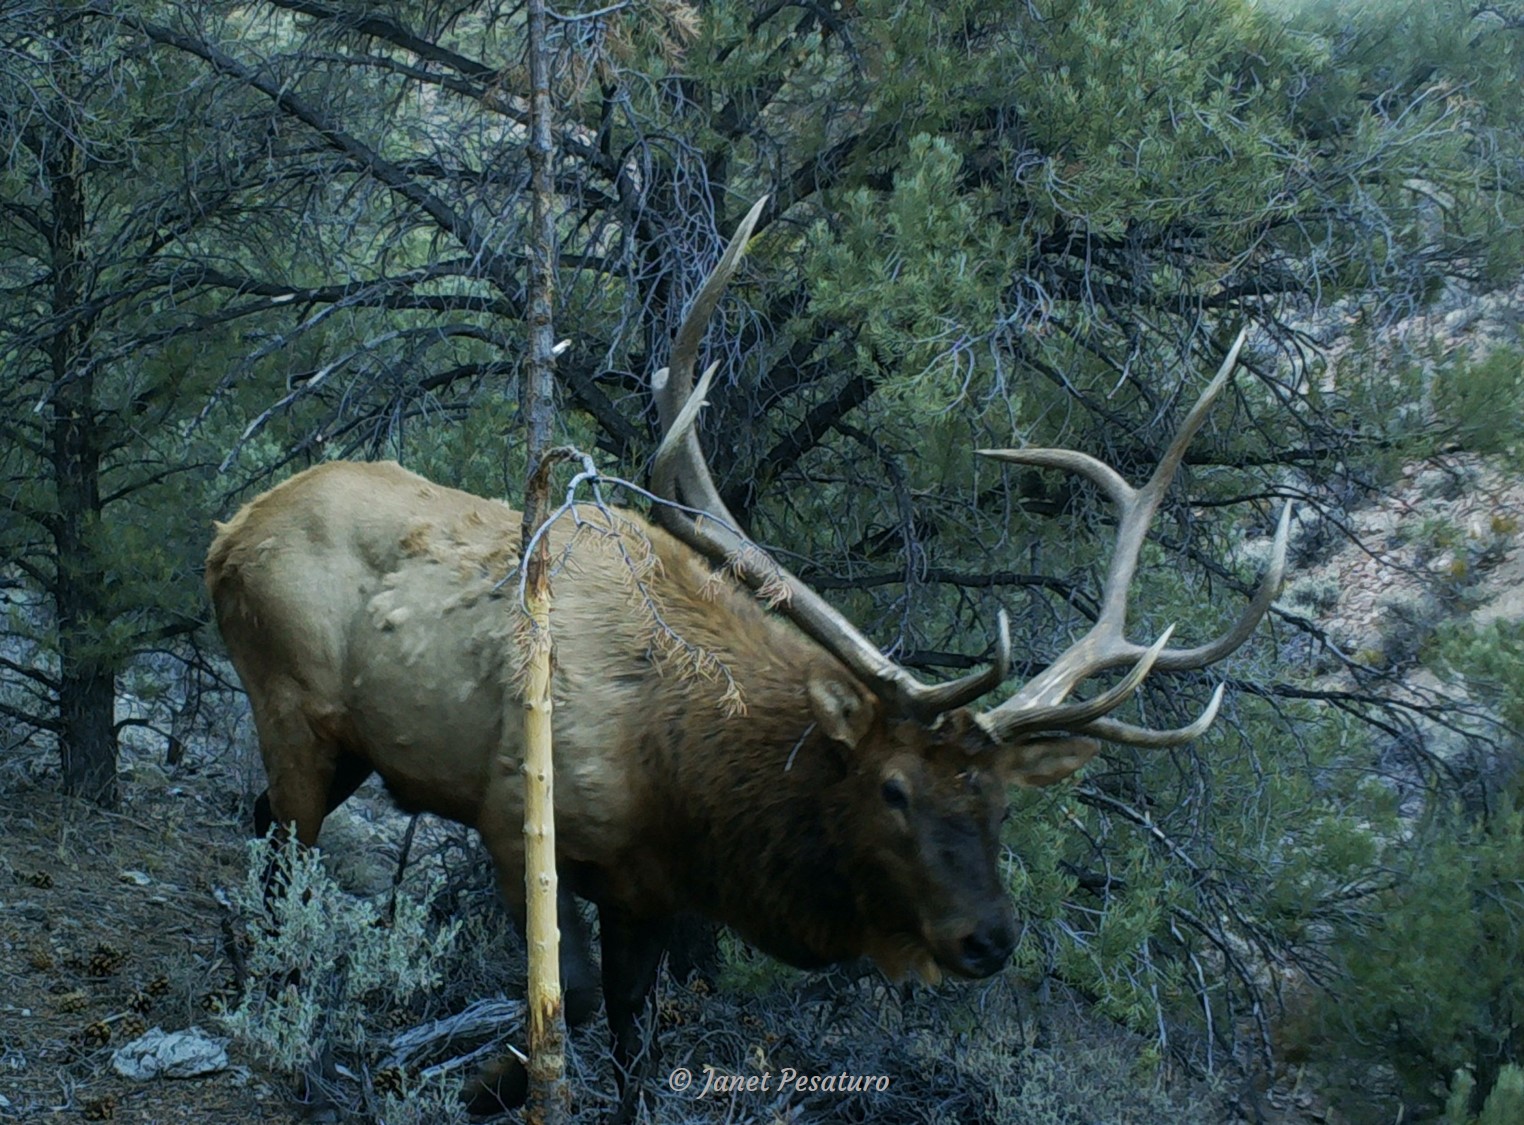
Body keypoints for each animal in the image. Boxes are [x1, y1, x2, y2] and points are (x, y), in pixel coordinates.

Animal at [205, 199, 1286, 1115]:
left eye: (1002, 803)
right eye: (893, 788)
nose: (989, 937)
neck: (679, 777)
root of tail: (228, 528)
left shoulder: (647, 889)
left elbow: (638, 1041)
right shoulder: (515, 819)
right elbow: (571, 1004)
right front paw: (469, 1087)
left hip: (351, 744)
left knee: (260, 822)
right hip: (287, 697)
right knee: (285, 844)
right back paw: (273, 1011)